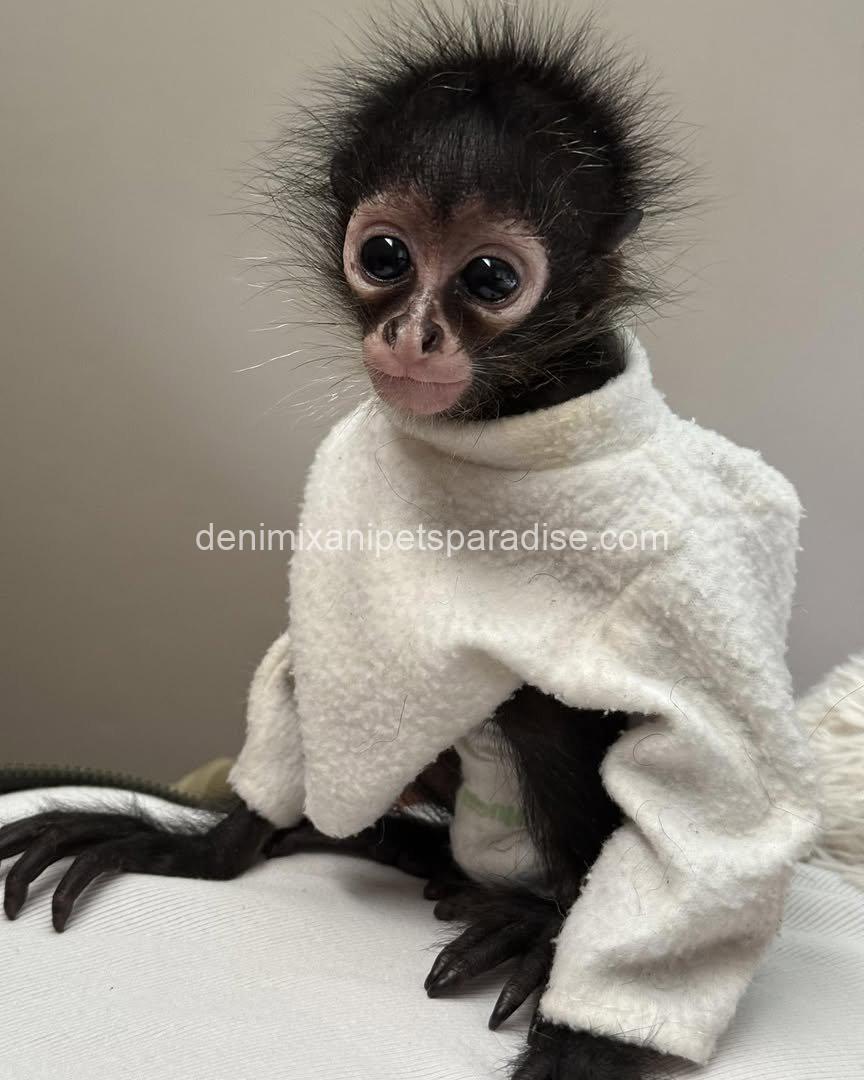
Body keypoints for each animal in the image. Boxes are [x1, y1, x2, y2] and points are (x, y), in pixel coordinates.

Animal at [0, 7, 818, 1080]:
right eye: (385, 256)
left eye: (490, 277)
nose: (414, 336)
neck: (500, 419)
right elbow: (310, 669)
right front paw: (206, 847)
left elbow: (707, 784)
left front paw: (582, 1041)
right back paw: (409, 851)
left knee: (547, 714)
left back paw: (529, 915)